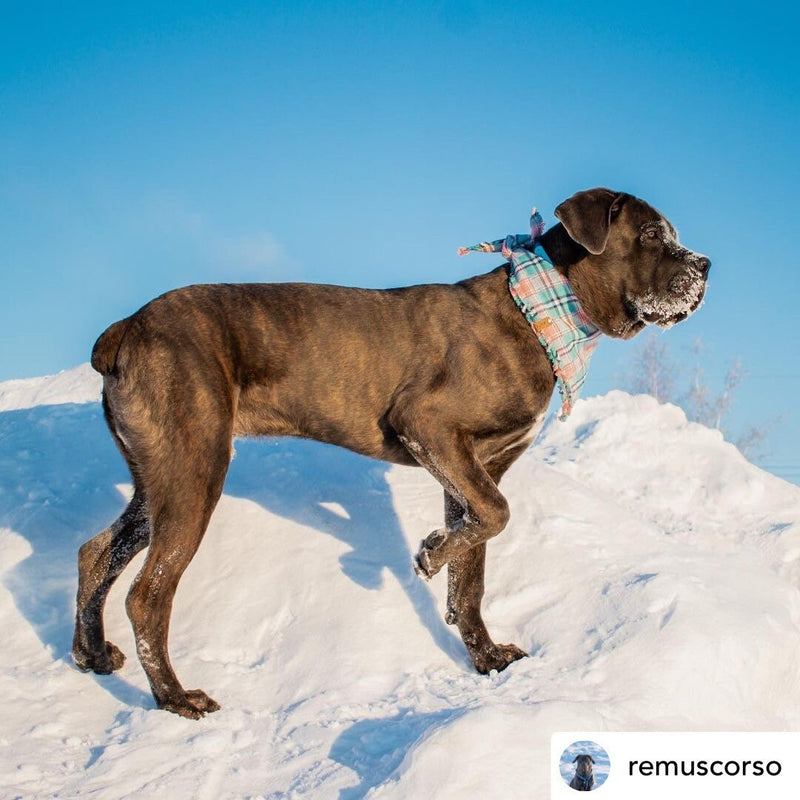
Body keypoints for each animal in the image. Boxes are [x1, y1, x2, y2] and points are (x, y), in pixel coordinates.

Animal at [72, 189, 708, 720]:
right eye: (651, 234)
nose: (704, 265)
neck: (541, 312)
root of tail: (125, 328)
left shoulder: (476, 468)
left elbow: (473, 569)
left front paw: (484, 655)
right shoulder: (429, 426)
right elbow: (497, 516)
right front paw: (429, 555)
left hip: (159, 477)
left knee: (97, 552)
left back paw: (91, 654)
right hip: (195, 470)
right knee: (147, 596)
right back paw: (174, 698)